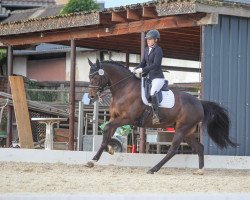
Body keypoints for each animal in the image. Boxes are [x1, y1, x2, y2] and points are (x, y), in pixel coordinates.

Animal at [86, 59, 236, 173]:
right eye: (89, 77)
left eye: (96, 77)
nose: (91, 96)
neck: (124, 88)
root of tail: (199, 103)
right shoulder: (114, 118)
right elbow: (107, 133)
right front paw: (101, 155)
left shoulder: (126, 118)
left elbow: (107, 129)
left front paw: (101, 155)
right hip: (188, 131)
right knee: (199, 147)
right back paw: (200, 170)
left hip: (182, 129)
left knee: (173, 150)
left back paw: (153, 169)